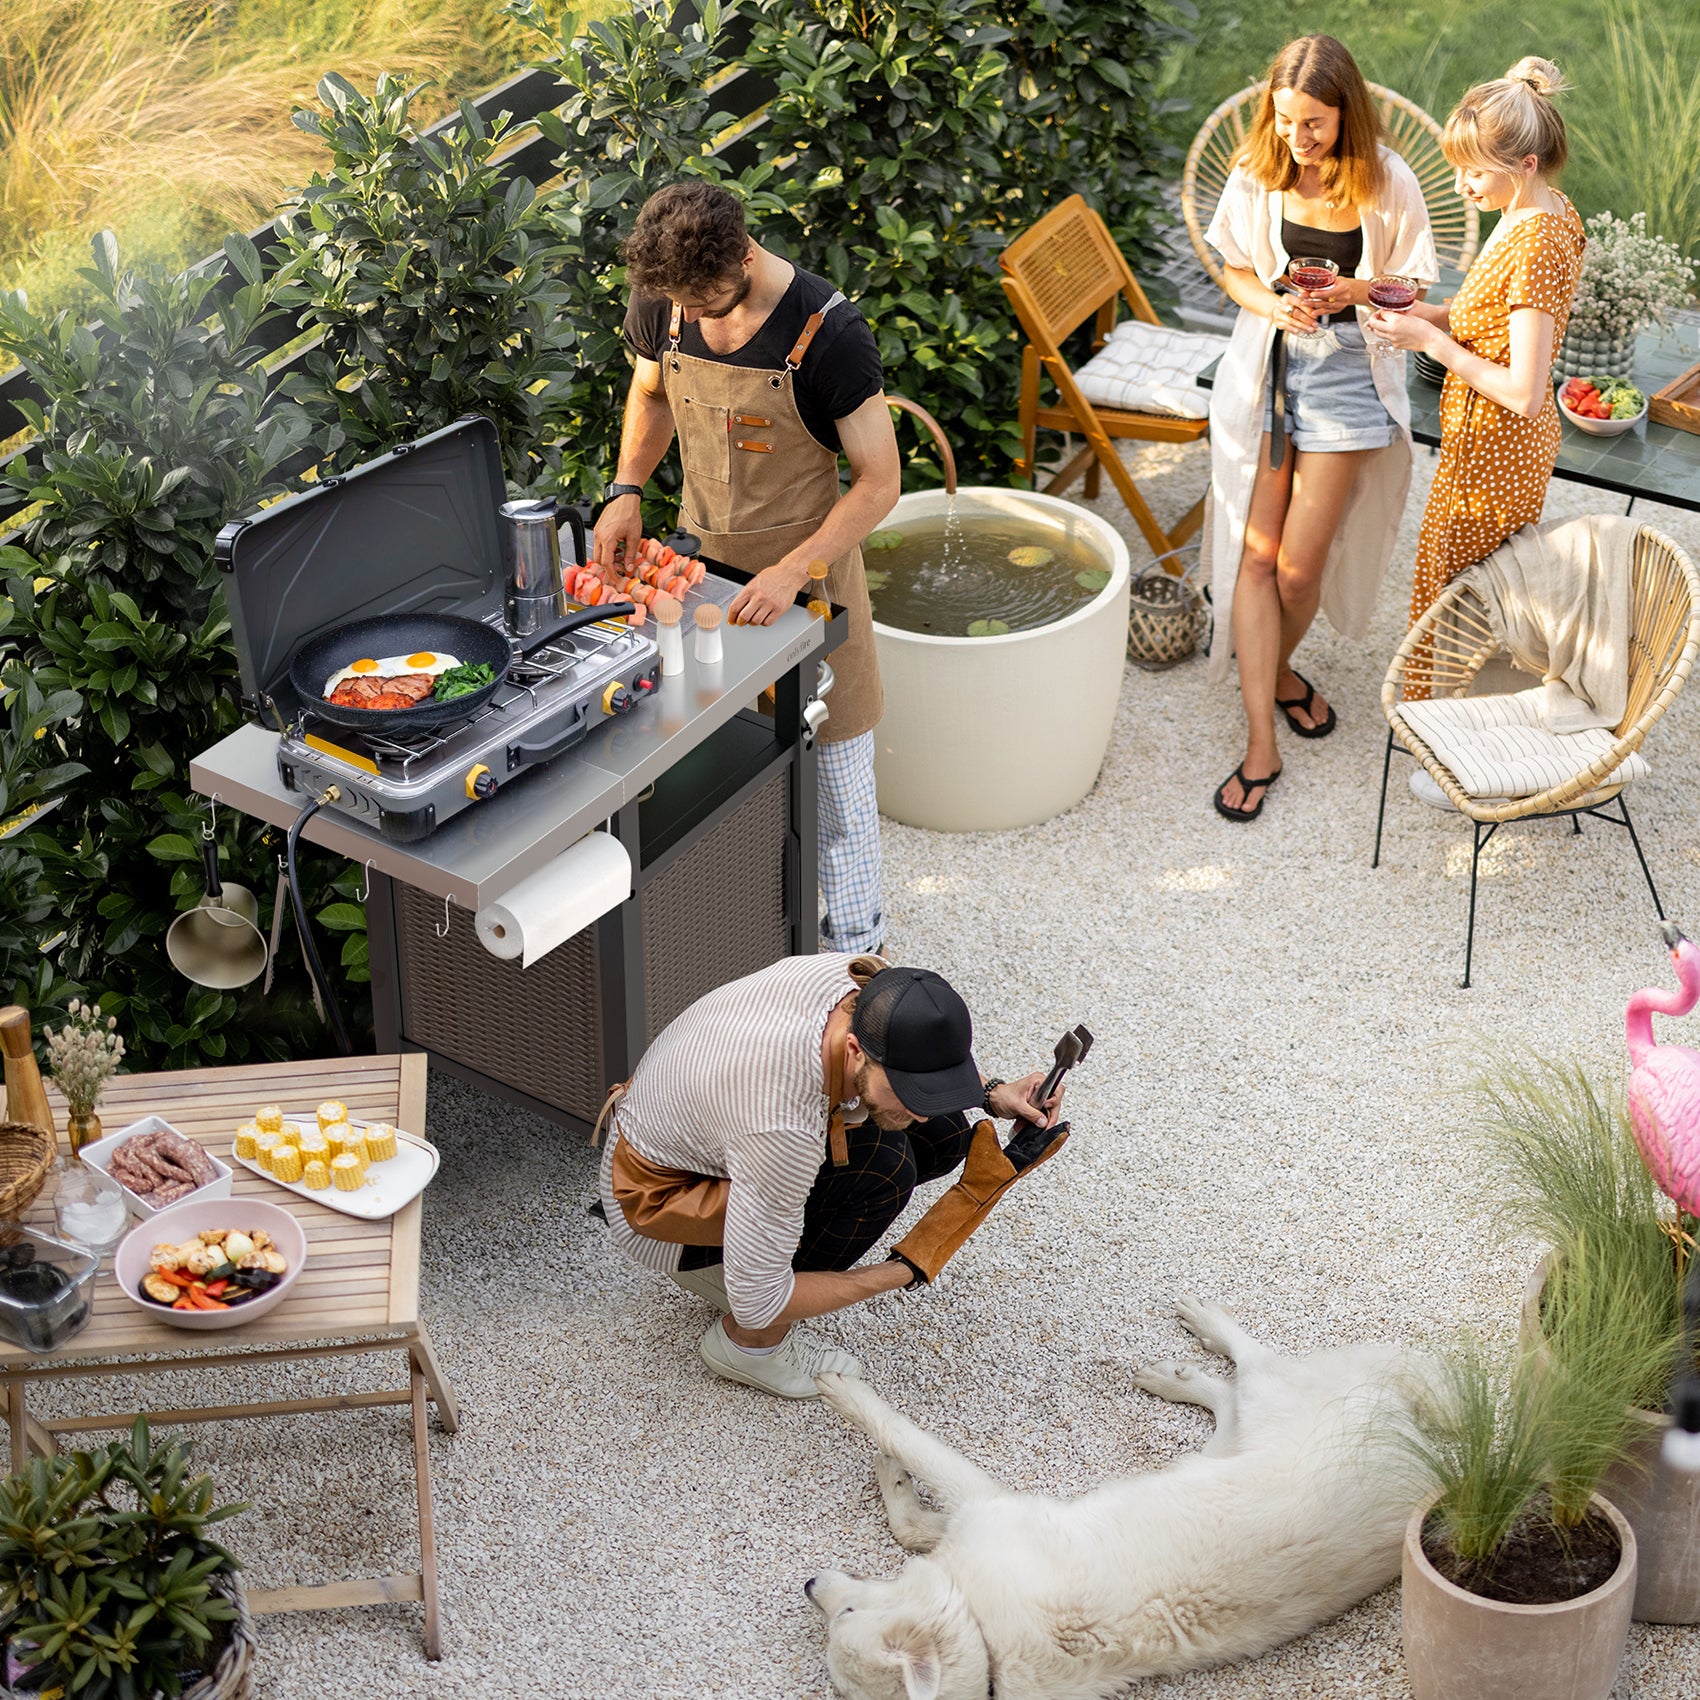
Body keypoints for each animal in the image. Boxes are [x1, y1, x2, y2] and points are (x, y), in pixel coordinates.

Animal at [802, 1292, 1428, 1693]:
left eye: (847, 1613)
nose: (809, 1584)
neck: (983, 1638)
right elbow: (914, 1528)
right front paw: (895, 1482)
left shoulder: (985, 1501)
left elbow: (896, 1434)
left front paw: (844, 1396)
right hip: (1225, 1446)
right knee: (1225, 1398)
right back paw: (1174, 1377)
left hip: (1272, 1398)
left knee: (1253, 1359)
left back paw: (1207, 1324)